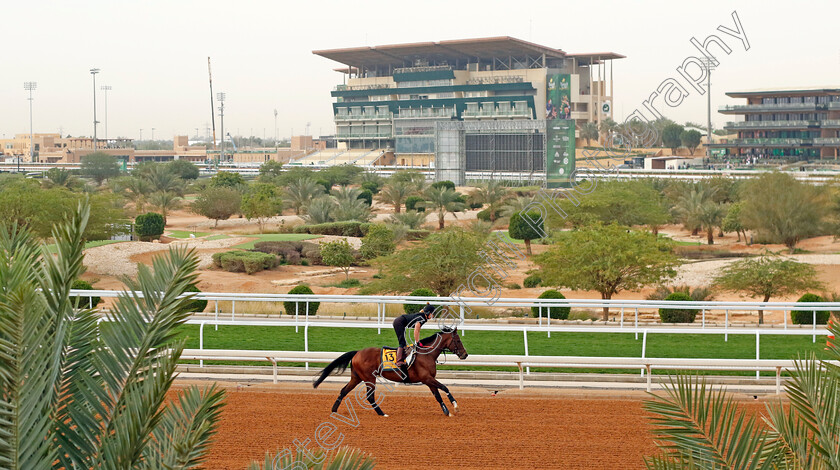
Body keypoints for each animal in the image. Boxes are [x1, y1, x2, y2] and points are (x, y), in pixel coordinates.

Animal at [310, 328, 466, 416]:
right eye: (458, 340)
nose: (465, 355)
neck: (426, 354)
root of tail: (357, 353)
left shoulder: (429, 380)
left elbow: (437, 395)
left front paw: (446, 411)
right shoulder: (427, 378)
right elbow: (445, 388)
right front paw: (455, 406)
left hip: (356, 377)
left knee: (343, 391)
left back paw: (334, 410)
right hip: (369, 378)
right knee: (370, 397)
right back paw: (382, 413)